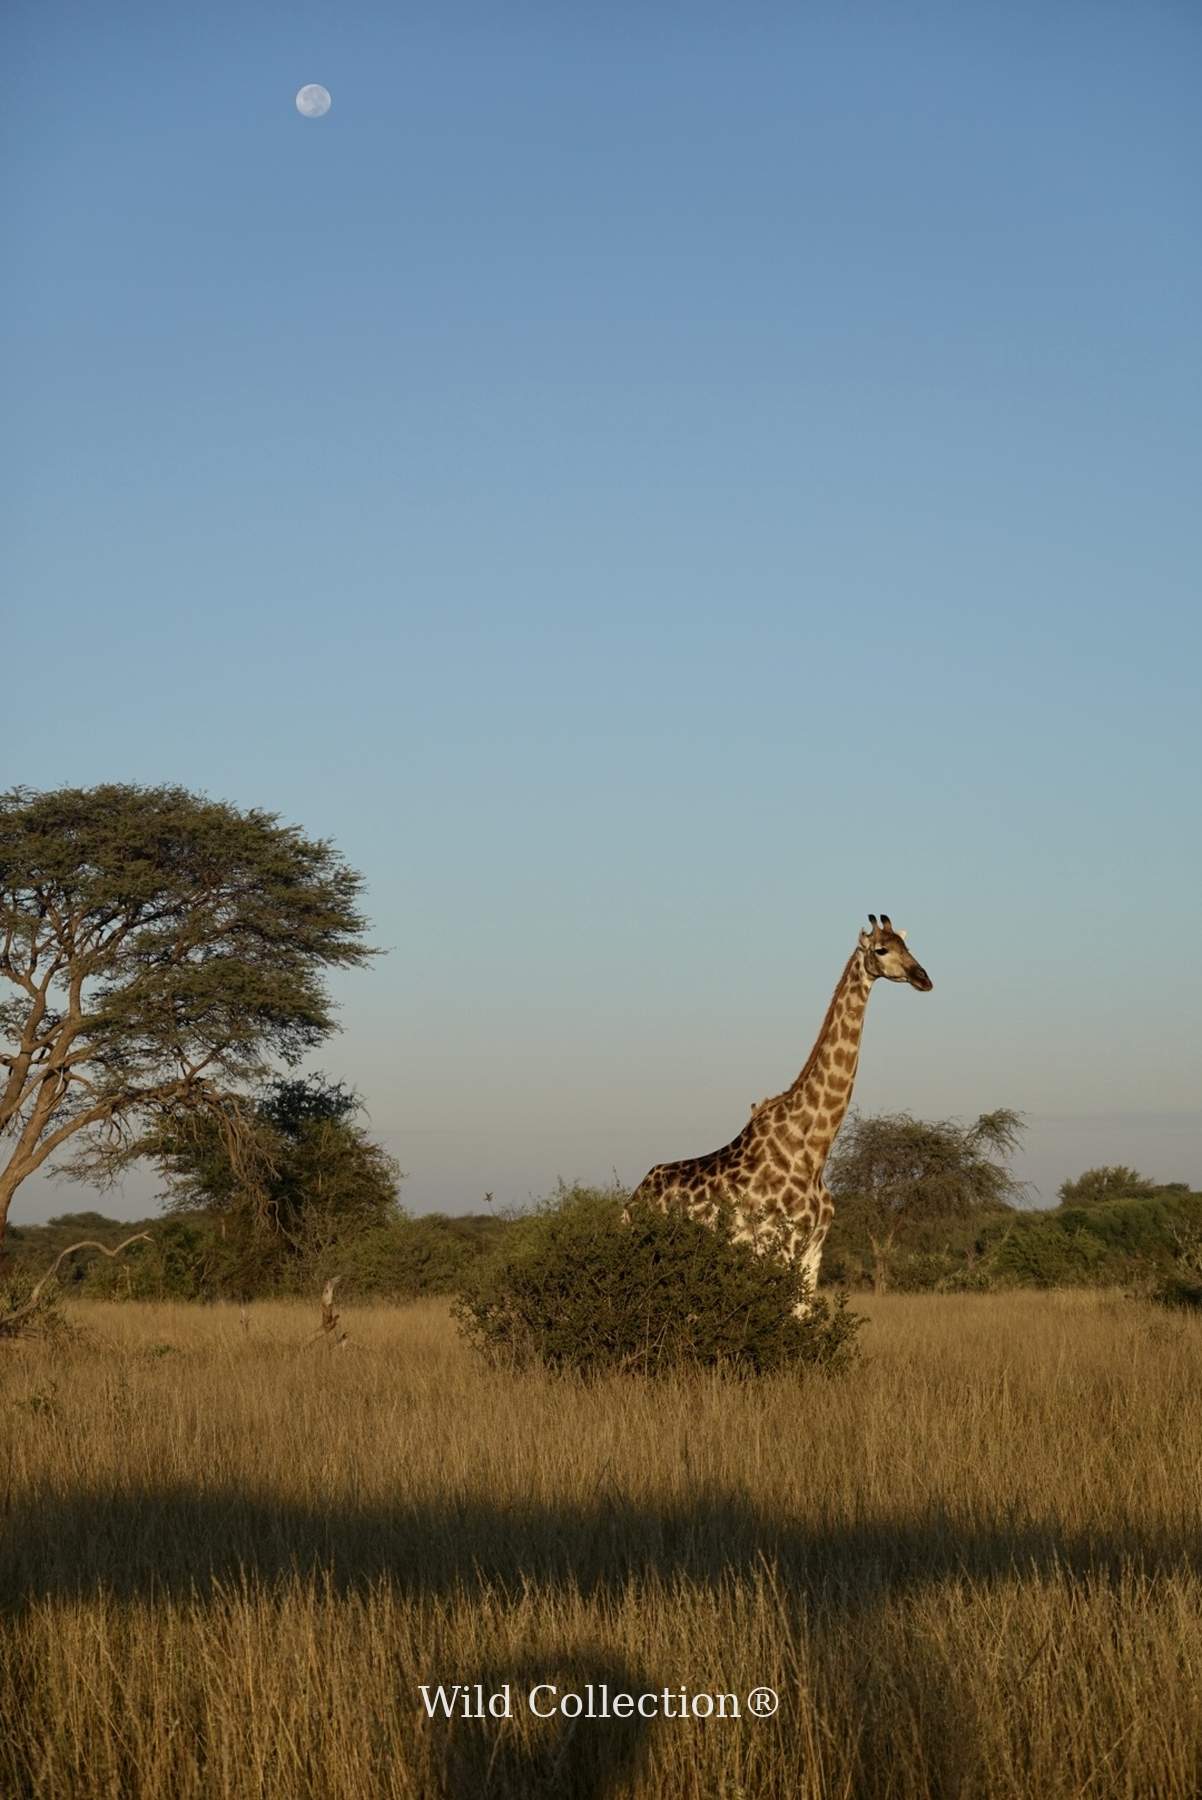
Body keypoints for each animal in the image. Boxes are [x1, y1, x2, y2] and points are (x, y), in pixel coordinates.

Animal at [627, 913, 933, 1301]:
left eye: (908, 946)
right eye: (881, 949)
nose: (923, 978)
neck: (813, 1149)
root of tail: (631, 1201)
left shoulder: (813, 1250)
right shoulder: (779, 1245)